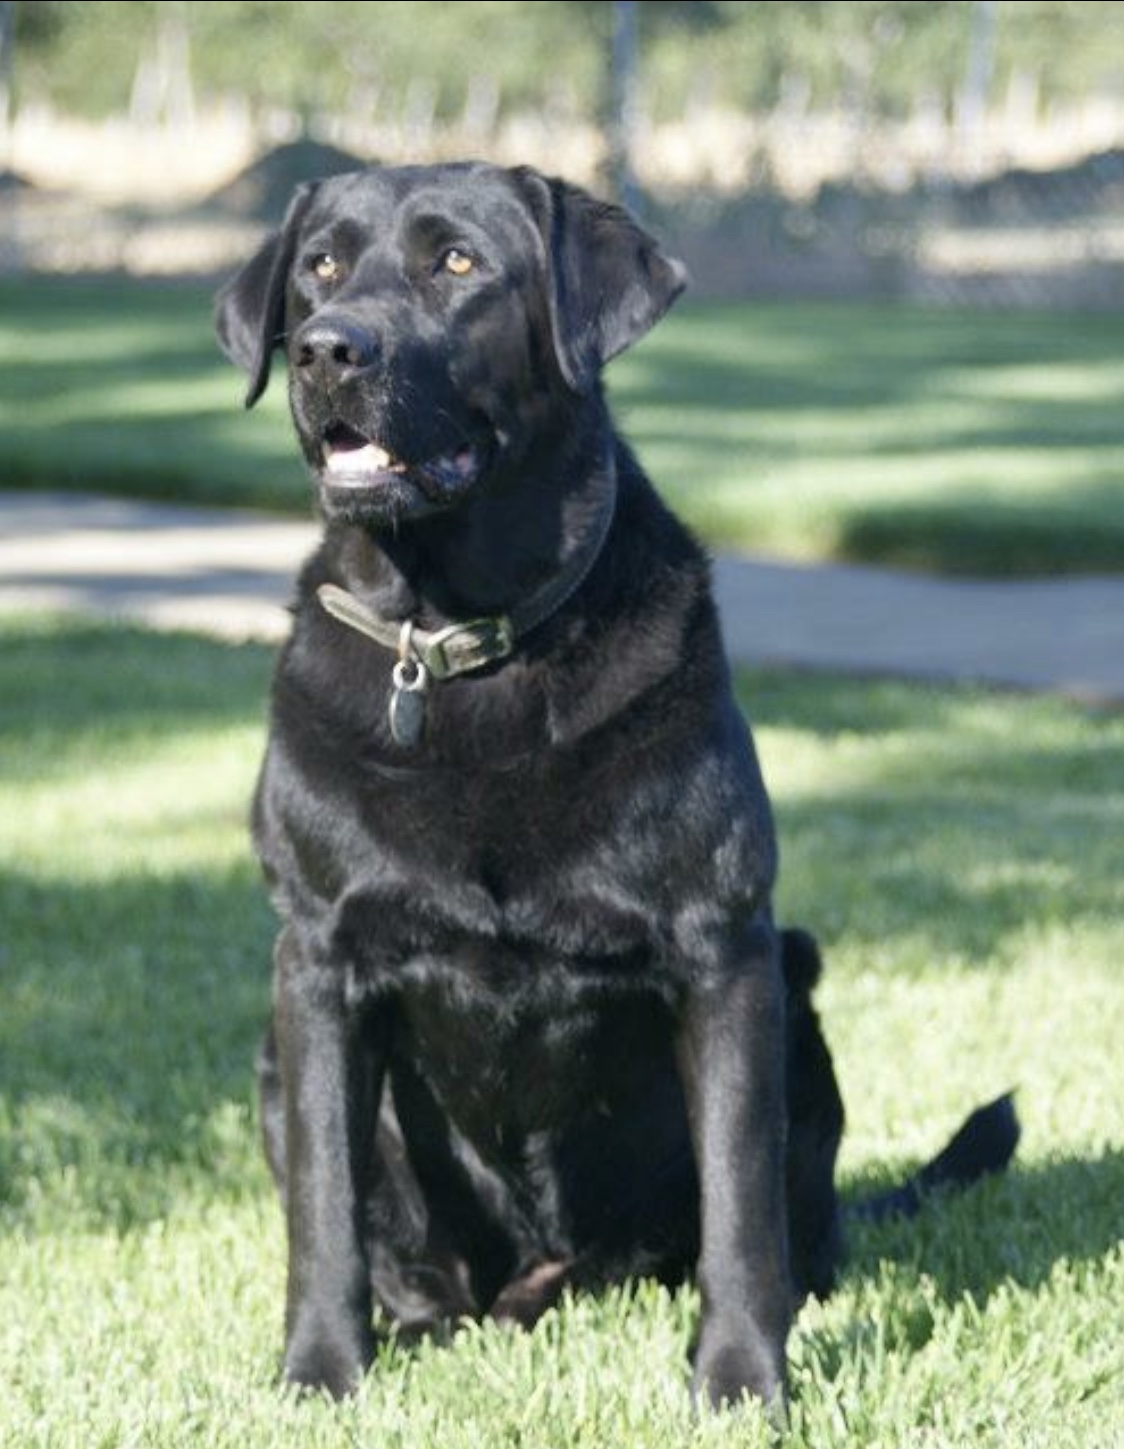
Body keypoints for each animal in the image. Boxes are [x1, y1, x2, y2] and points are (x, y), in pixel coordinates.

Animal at [212, 161, 1019, 1414]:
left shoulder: (721, 950)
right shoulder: (316, 960)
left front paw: (740, 1384)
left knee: (780, 1229)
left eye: (456, 264)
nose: (328, 349)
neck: (458, 642)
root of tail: (546, 1274)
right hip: (271, 1055)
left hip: (794, 989)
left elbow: (738, 1210)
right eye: (321, 267)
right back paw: (427, 1320)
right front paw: (319, 1375)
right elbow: (323, 1210)